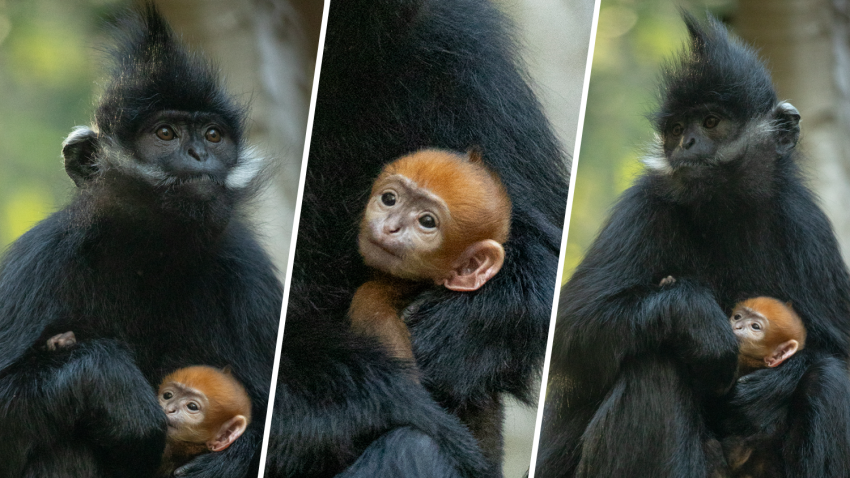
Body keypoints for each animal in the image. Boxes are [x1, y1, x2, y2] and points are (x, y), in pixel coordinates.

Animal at [0, 7, 280, 478]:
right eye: (165, 133)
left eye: (212, 135)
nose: (199, 155)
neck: (151, 257)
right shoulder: (38, 263)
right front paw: (112, 387)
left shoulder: (249, 274)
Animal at [536, 14, 848, 478]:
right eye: (677, 129)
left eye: (711, 122)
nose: (686, 144)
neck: (725, 213)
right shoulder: (643, 206)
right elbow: (570, 325)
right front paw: (697, 317)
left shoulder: (808, 227)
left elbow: (841, 353)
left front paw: (774, 387)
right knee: (655, 363)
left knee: (831, 381)